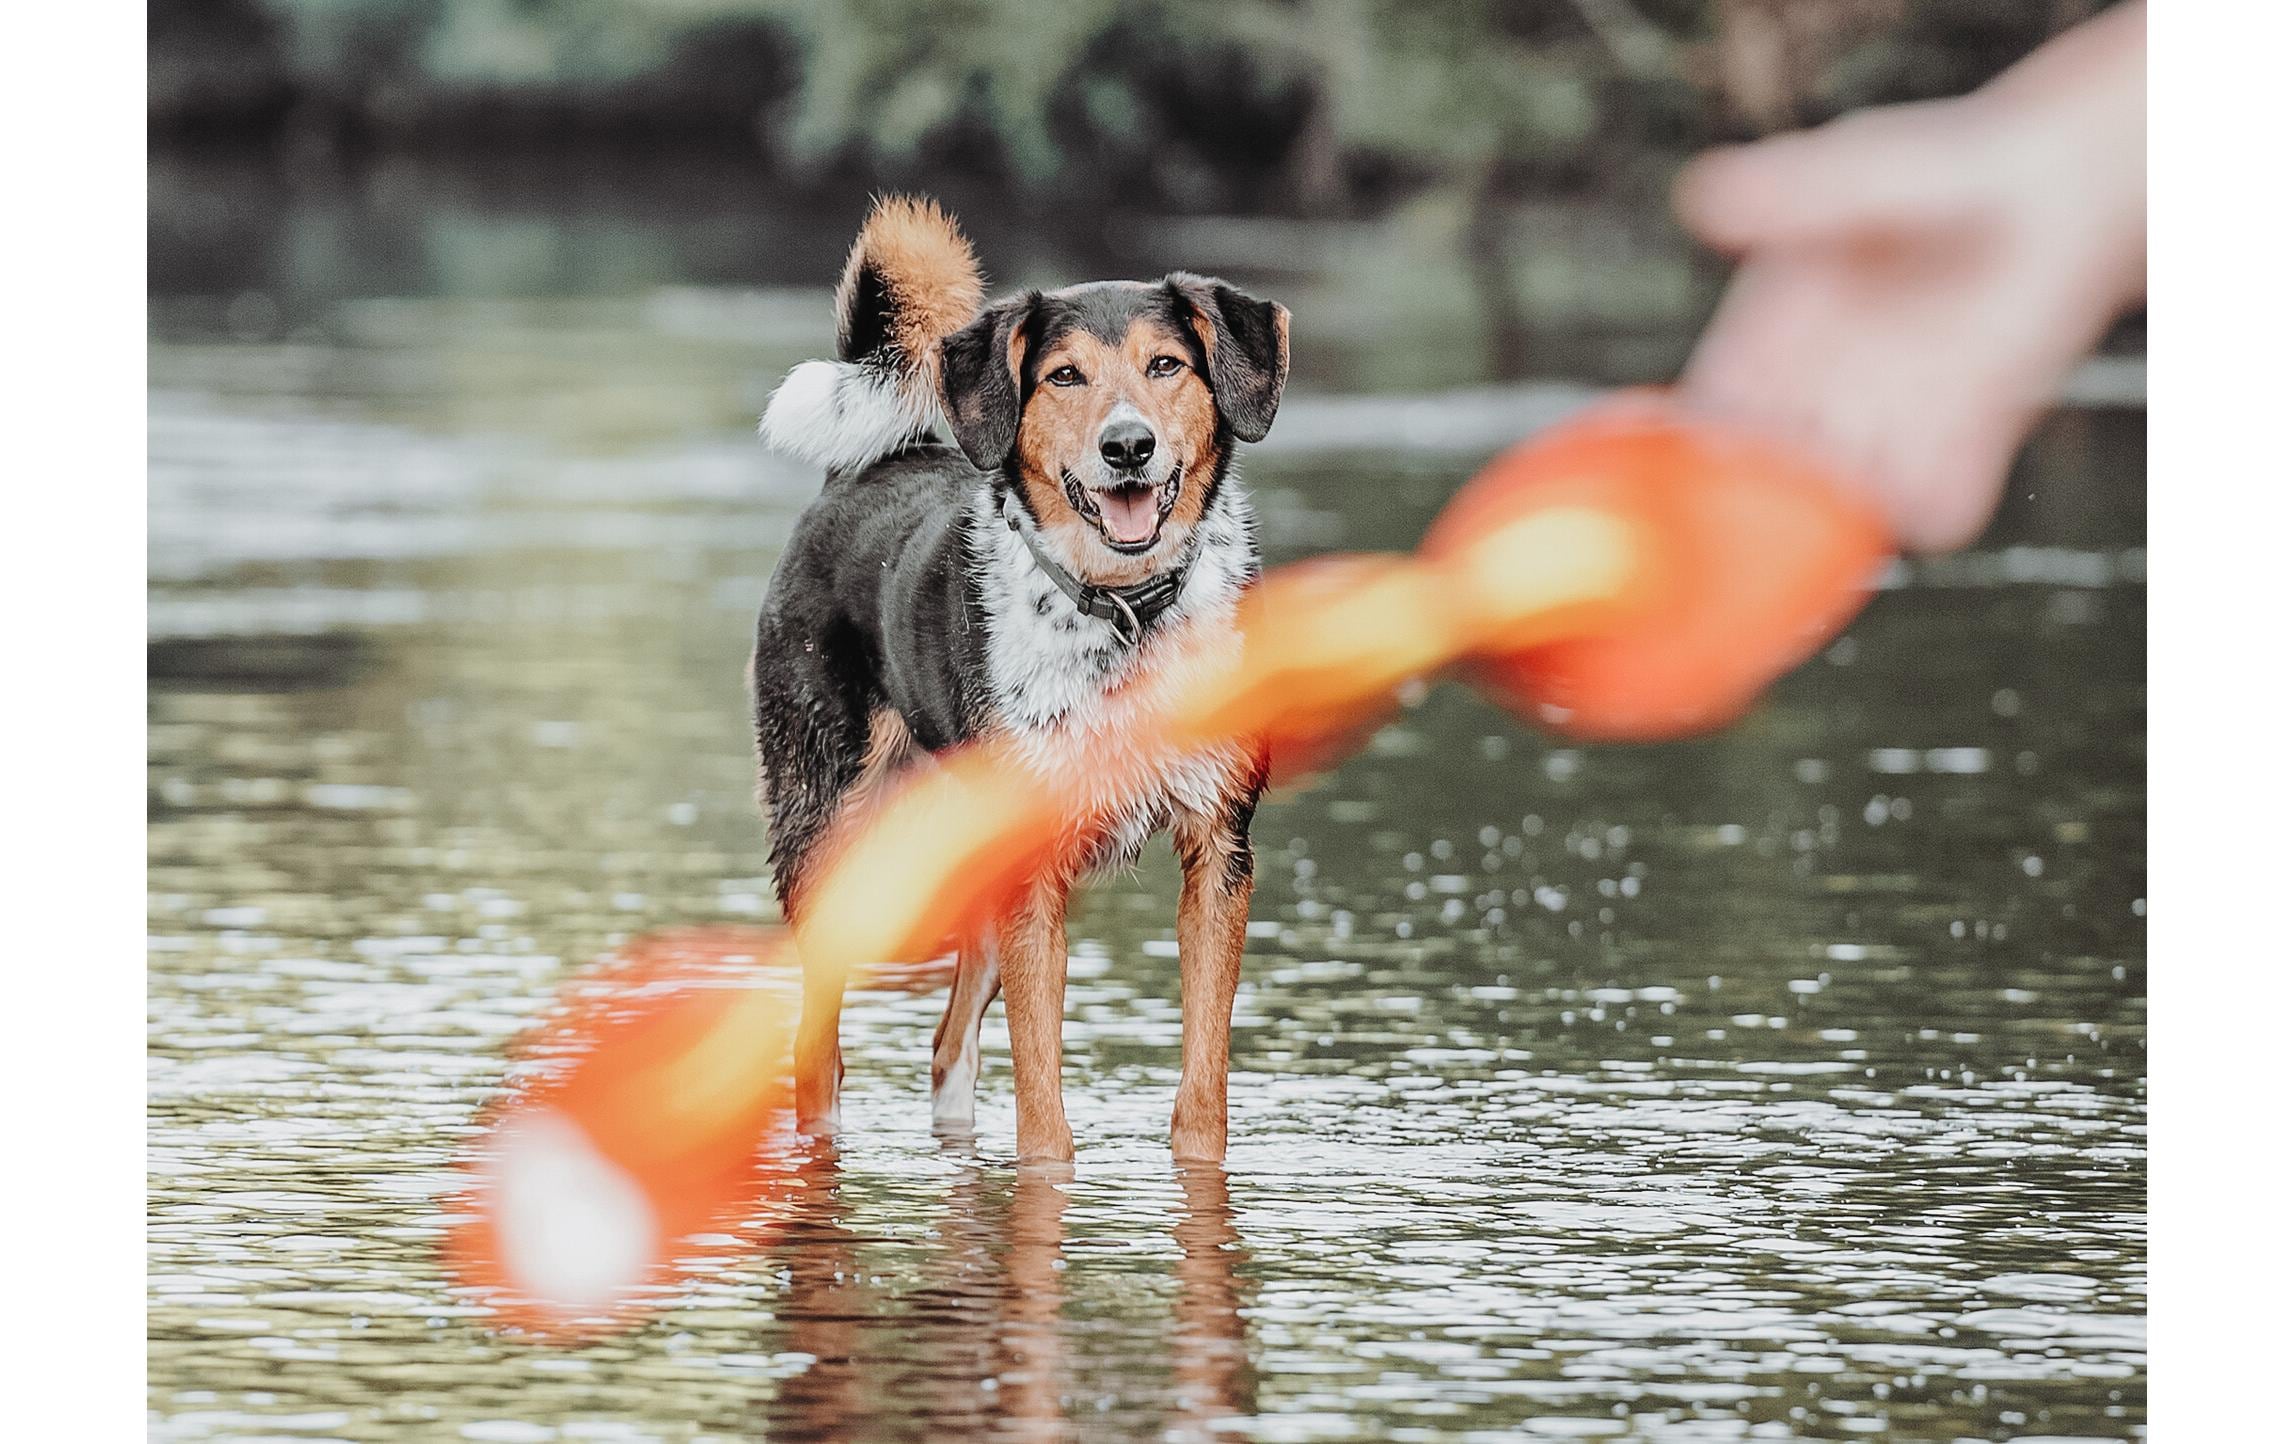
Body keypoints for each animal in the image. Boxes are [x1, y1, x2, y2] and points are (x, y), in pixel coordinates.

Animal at [752, 193, 1293, 1161]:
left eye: (1166, 364)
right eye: (1065, 377)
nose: (1128, 446)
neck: (1122, 618)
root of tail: (856, 471)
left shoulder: (1218, 850)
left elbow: (1203, 1088)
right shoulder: (1035, 874)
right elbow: (1042, 1111)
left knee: (947, 1046)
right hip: (826, 838)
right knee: (818, 1055)